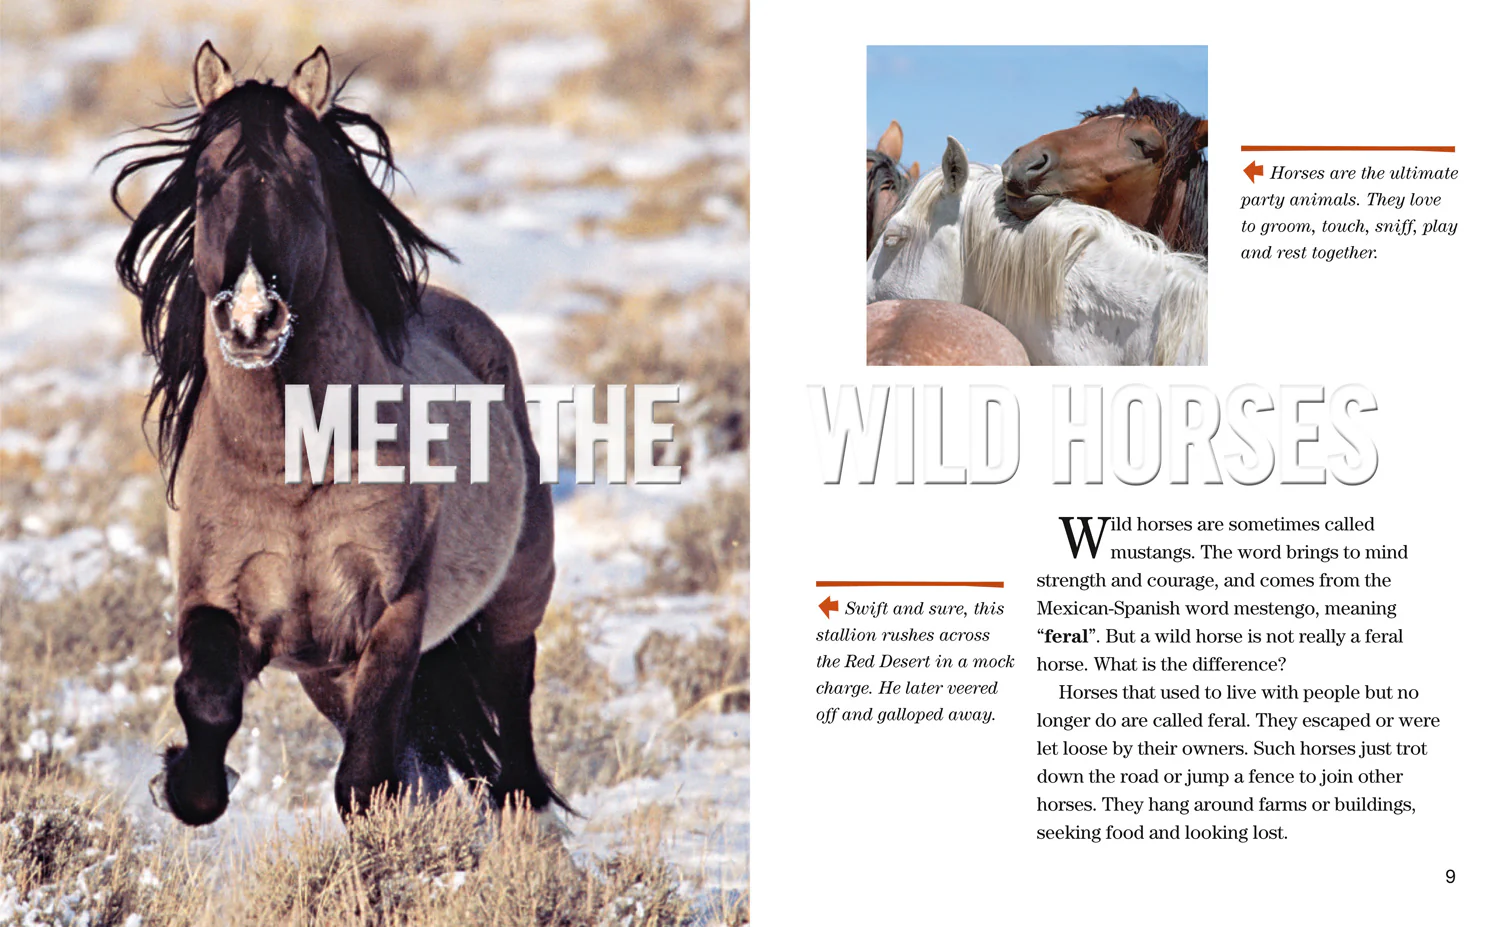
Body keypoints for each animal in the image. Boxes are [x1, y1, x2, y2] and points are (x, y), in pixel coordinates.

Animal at [108, 42, 567, 825]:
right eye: (205, 179)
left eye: (304, 177)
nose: (251, 318)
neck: (291, 467)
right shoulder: (219, 603)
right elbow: (208, 698)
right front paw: (185, 783)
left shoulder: (393, 613)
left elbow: (365, 774)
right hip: (322, 673)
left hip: (517, 591)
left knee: (510, 699)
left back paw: (517, 803)